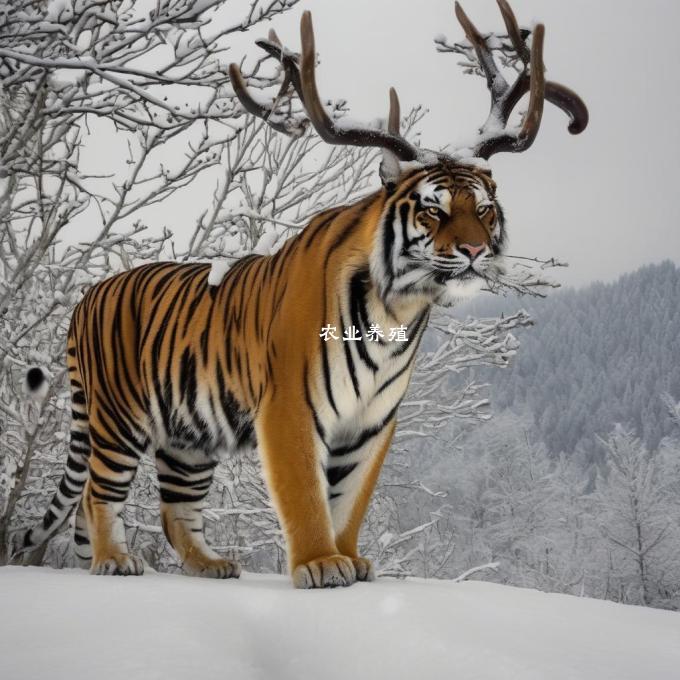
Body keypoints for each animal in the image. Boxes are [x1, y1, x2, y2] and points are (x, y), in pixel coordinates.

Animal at [10, 2, 588, 588]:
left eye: (485, 208)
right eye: (434, 209)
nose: (475, 250)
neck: (397, 309)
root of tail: (88, 294)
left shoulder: (374, 421)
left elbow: (350, 498)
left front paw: (350, 558)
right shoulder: (289, 406)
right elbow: (305, 493)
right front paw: (320, 564)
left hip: (188, 437)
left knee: (175, 510)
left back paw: (211, 565)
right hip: (117, 418)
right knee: (95, 492)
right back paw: (112, 560)